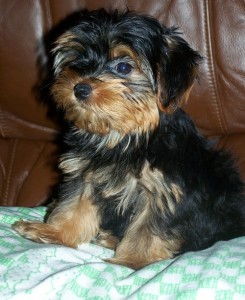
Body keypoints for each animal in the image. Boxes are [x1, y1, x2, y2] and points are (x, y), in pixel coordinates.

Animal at [13, 9, 245, 270]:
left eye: (123, 67)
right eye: (78, 60)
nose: (79, 88)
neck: (123, 136)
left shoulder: (163, 190)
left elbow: (148, 230)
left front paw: (132, 261)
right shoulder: (86, 173)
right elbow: (73, 204)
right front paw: (54, 232)